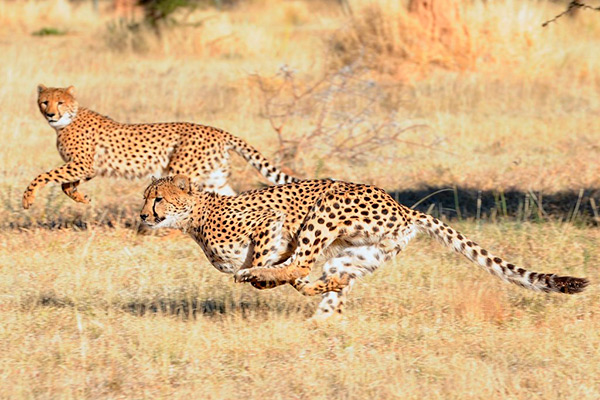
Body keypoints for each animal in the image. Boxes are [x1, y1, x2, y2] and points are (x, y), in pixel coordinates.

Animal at [22, 84, 298, 209]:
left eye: (60, 102)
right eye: (44, 101)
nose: (50, 114)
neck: (68, 120)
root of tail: (217, 130)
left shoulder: (81, 164)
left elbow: (44, 176)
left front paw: (28, 198)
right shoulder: (87, 167)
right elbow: (65, 184)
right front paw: (81, 197)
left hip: (180, 171)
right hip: (214, 178)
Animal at [142, 177, 592, 320]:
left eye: (158, 198)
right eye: (146, 197)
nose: (144, 215)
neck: (195, 216)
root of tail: (405, 207)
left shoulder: (270, 221)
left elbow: (273, 261)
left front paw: (258, 273)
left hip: (326, 208)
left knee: (301, 266)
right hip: (360, 252)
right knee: (328, 279)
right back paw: (323, 305)